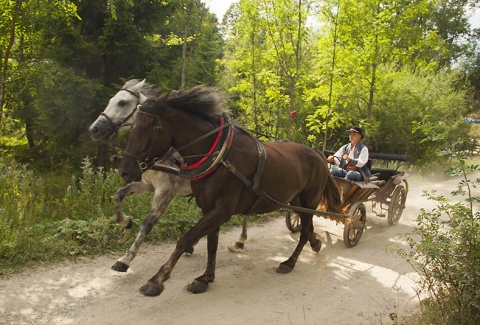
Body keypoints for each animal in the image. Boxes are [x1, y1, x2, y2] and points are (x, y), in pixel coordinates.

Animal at [88, 79, 249, 270]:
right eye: (111, 99)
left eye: (122, 102)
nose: (94, 129)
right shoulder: (147, 185)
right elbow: (118, 195)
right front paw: (125, 221)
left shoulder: (165, 192)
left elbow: (147, 224)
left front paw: (125, 259)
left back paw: (240, 241)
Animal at [117, 85, 342, 294]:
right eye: (133, 125)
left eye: (145, 128)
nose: (124, 170)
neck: (218, 155)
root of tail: (318, 153)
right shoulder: (208, 208)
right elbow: (211, 243)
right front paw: (205, 278)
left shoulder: (219, 210)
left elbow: (185, 238)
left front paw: (157, 280)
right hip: (294, 201)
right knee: (307, 226)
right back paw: (315, 244)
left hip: (309, 201)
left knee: (304, 230)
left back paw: (289, 262)